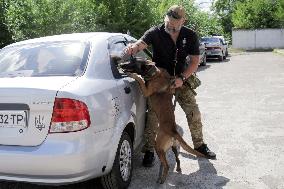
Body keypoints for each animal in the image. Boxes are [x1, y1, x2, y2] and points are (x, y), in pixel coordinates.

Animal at [118, 56, 204, 184]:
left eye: (133, 62)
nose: (121, 64)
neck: (154, 73)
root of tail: (173, 131)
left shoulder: (146, 91)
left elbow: (139, 78)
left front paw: (132, 74)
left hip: (158, 146)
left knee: (167, 165)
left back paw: (162, 179)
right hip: (173, 147)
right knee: (177, 158)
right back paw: (178, 168)